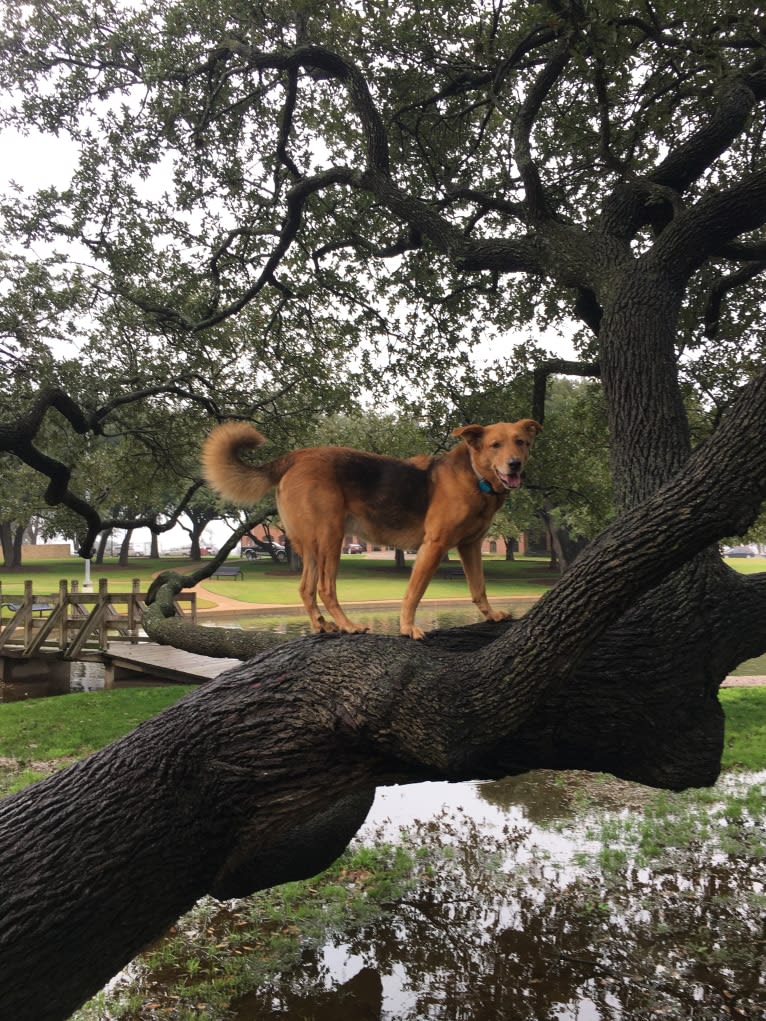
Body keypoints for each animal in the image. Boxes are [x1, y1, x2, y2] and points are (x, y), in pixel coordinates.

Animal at [201, 418, 543, 633]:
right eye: (495, 445)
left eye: (521, 442)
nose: (515, 465)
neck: (474, 476)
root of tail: (295, 456)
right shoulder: (434, 545)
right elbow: (414, 592)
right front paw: (407, 627)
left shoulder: (469, 546)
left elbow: (478, 587)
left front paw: (491, 616)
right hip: (331, 538)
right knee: (325, 588)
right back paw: (348, 625)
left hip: (310, 546)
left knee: (305, 588)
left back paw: (322, 626)